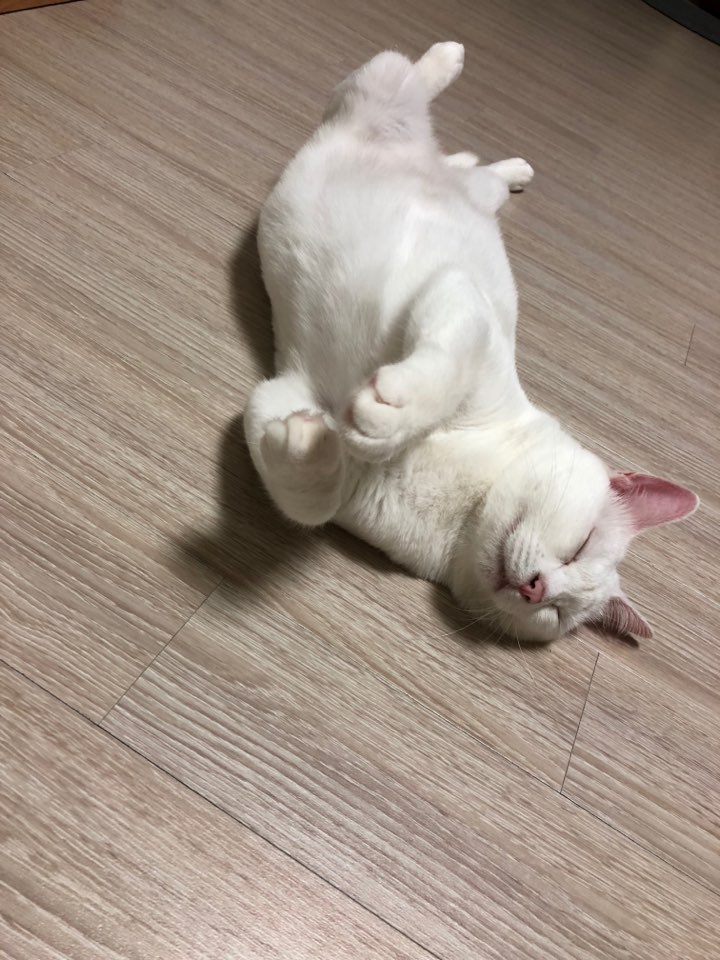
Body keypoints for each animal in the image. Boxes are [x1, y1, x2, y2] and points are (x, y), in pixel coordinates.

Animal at [244, 42, 698, 642]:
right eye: (581, 547)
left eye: (558, 614)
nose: (538, 589)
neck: (464, 504)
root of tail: (426, 155)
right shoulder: (461, 298)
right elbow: (446, 370)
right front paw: (389, 415)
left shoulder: (281, 398)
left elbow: (308, 500)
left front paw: (311, 444)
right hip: (379, 91)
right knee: (402, 75)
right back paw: (448, 60)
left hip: (466, 183)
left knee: (475, 169)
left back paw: (508, 166)